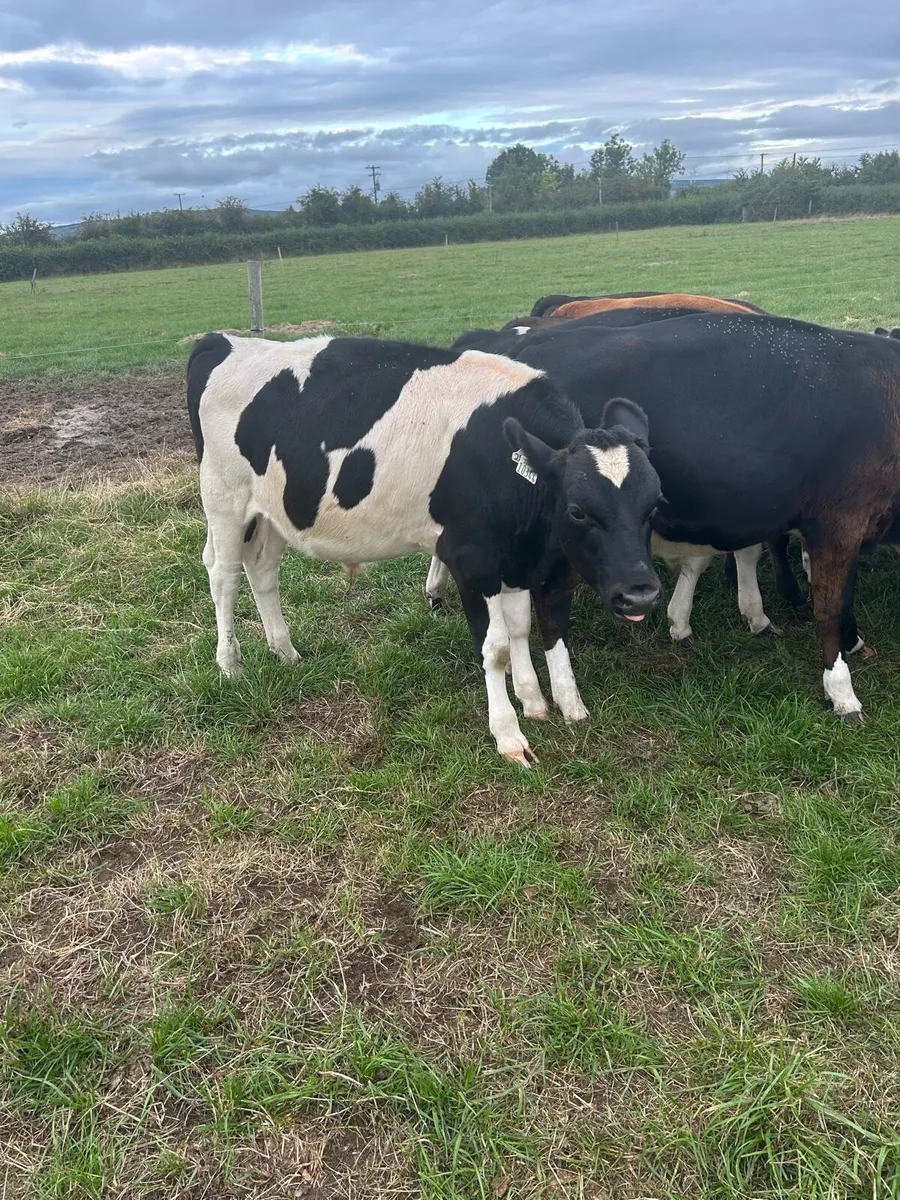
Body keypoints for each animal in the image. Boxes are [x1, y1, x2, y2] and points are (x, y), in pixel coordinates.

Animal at [186, 332, 662, 766]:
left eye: (654, 503)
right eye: (578, 511)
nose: (640, 594)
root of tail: (225, 340)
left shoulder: (528, 560)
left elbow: (533, 626)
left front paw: (550, 703)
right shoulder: (472, 562)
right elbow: (496, 646)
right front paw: (508, 734)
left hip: (274, 511)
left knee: (262, 569)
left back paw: (284, 651)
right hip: (224, 498)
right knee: (224, 576)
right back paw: (230, 665)